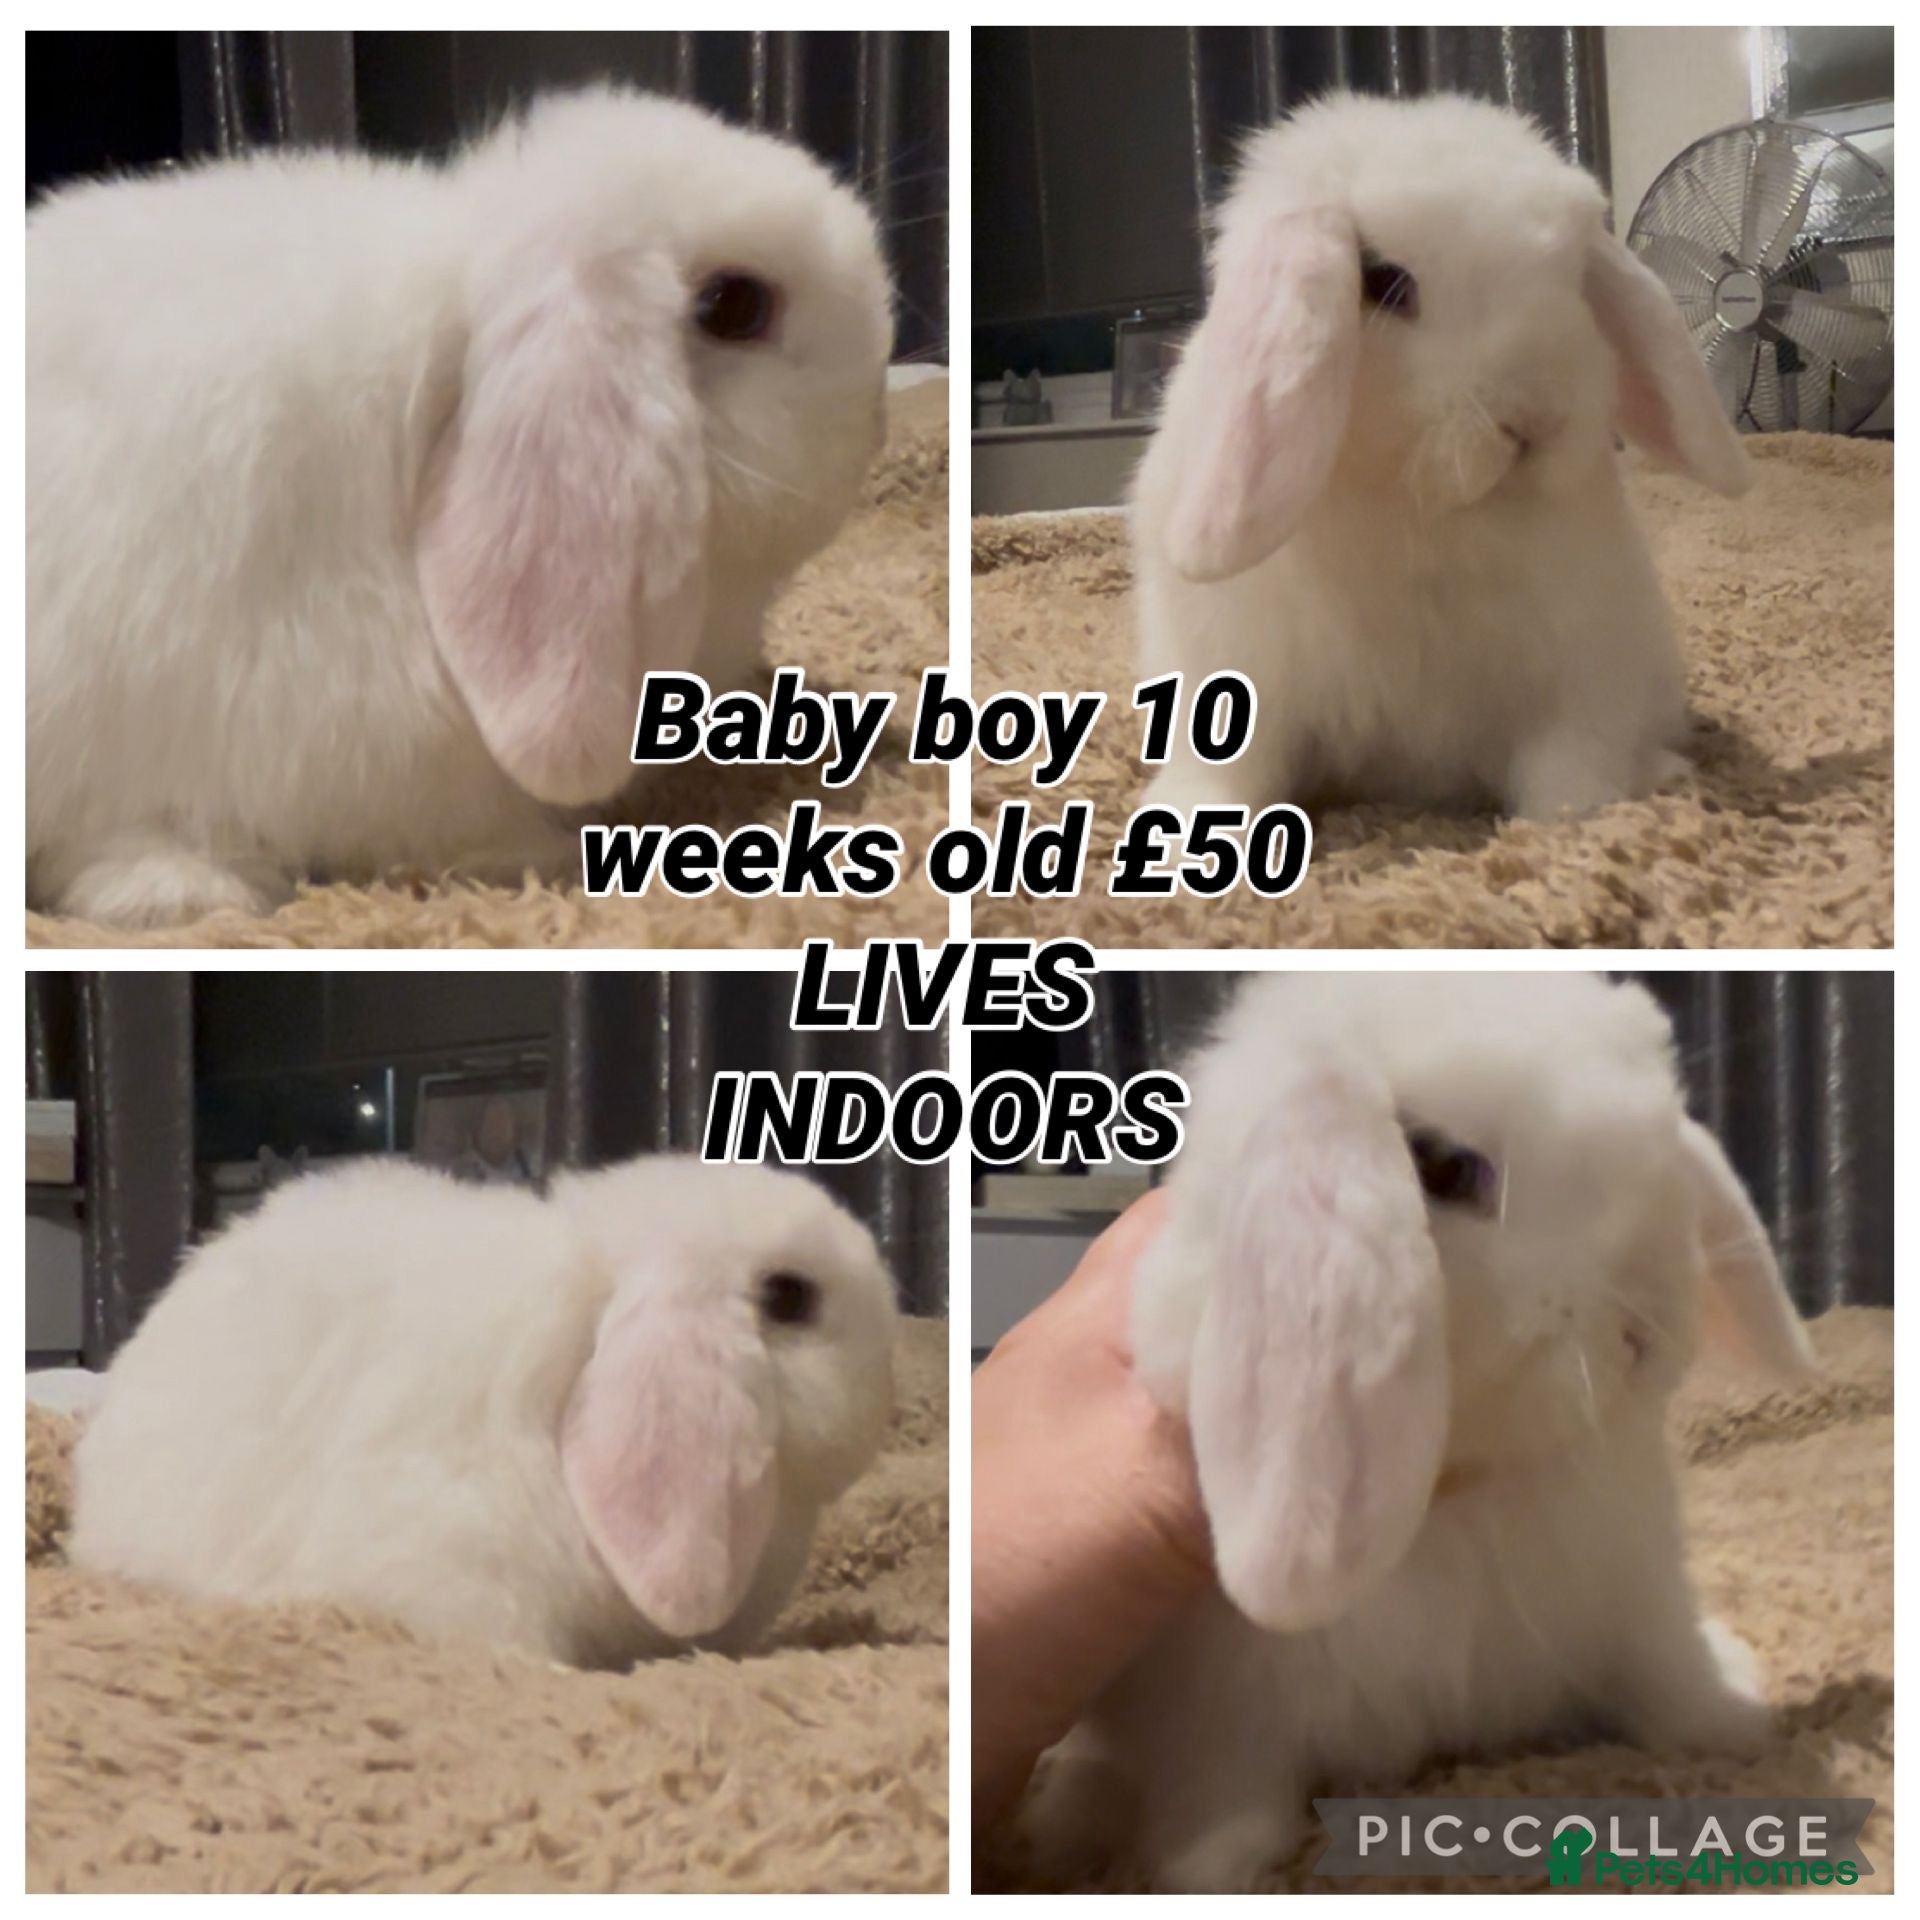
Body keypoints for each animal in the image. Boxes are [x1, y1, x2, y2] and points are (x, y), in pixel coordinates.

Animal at [1024, 973, 1816, 1892]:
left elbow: (1668, 1678)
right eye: (1445, 1167)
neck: (1466, 1493)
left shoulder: (1635, 1597)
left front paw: (1741, 1718)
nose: (1646, 1333)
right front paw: (1204, 1871)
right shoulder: (1217, 1706)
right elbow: (1226, 1798)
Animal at [1131, 93, 1752, 823]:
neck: (1416, 509)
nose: (1533, 420)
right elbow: (1231, 770)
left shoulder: (1581, 672)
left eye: (1571, 278)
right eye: (1386, 282)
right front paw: (1186, 828)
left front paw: (1574, 818)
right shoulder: (1236, 671)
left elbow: (1568, 769)